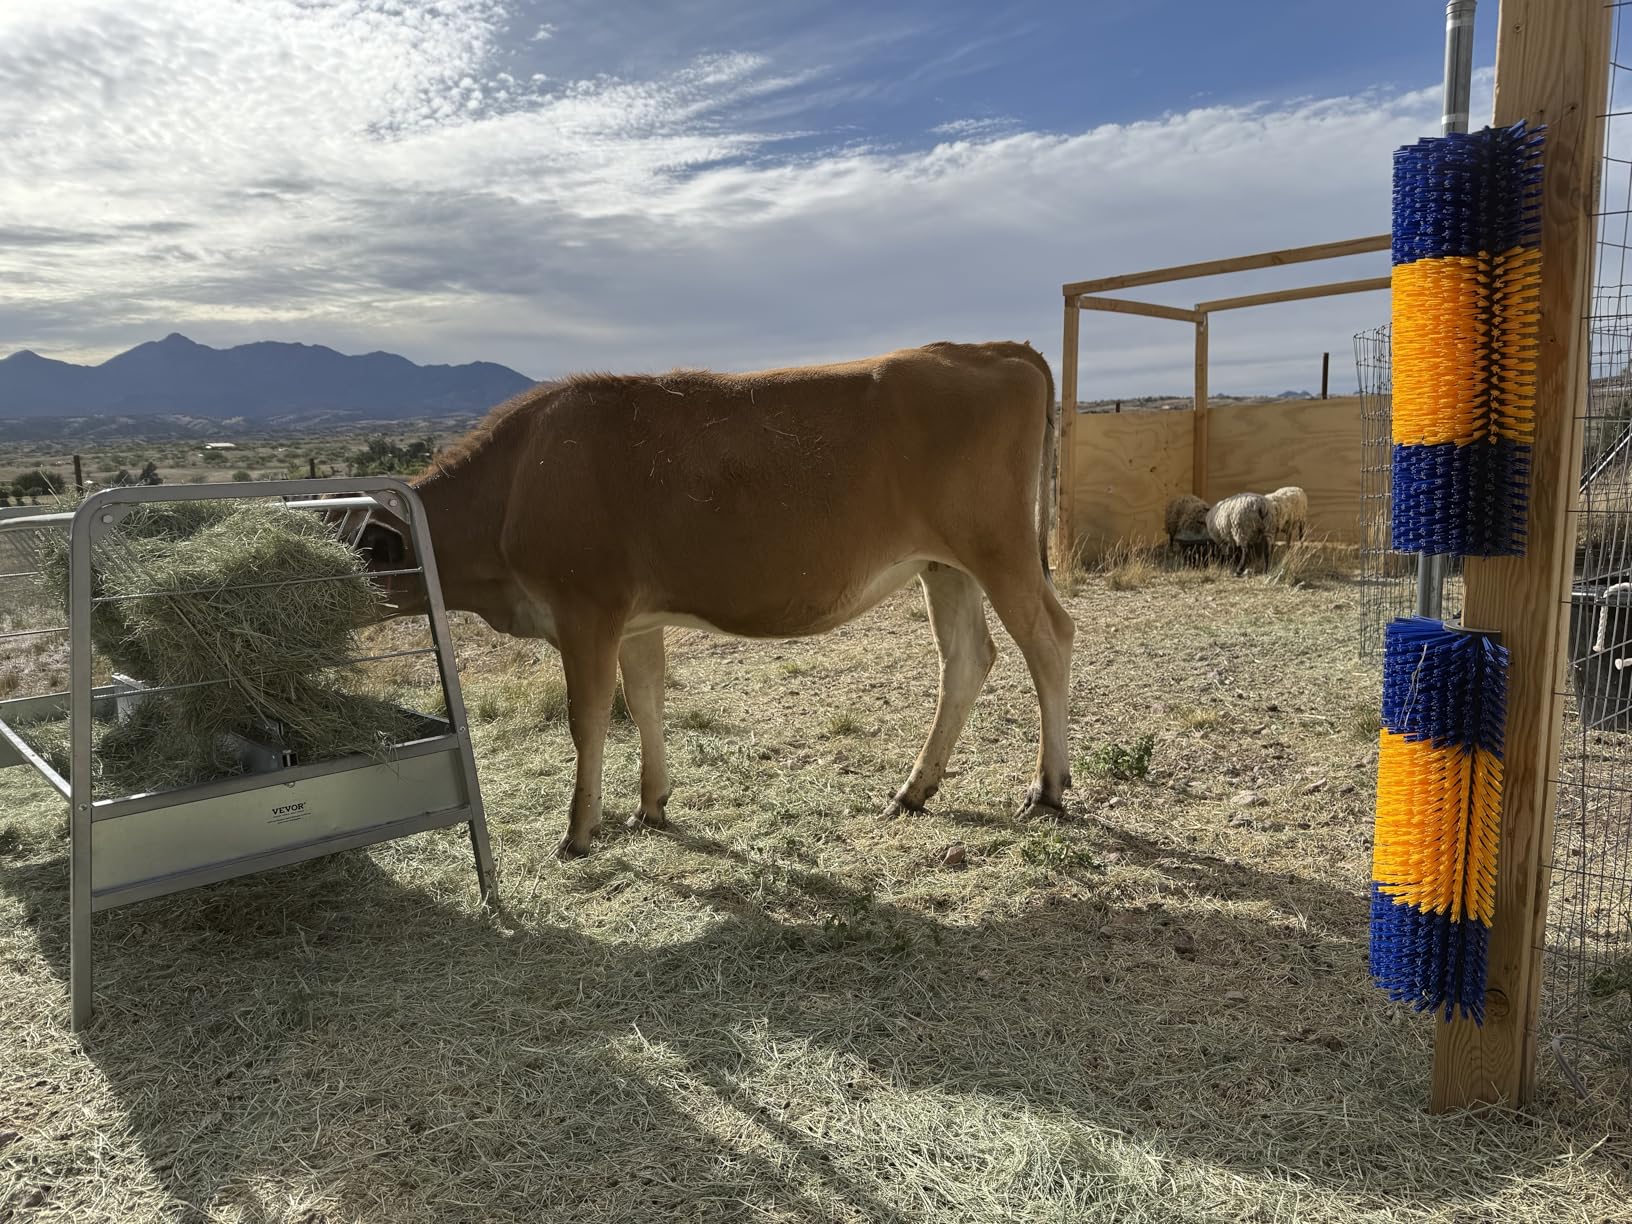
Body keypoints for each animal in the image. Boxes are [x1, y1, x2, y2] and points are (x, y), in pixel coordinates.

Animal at [355, 340, 1075, 859]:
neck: (512, 485)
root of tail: (990, 348)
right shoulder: (634, 620)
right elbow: (644, 700)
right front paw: (651, 803)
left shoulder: (586, 610)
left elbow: (588, 719)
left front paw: (579, 833)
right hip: (944, 565)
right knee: (967, 659)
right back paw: (914, 790)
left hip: (1000, 550)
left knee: (1050, 639)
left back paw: (1047, 787)